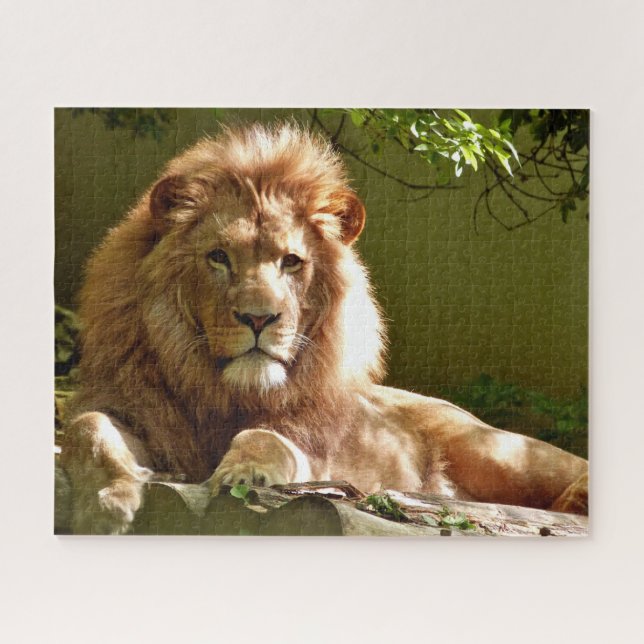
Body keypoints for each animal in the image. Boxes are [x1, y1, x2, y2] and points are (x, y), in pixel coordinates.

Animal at [60, 123, 589, 534]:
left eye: (291, 261)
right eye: (219, 257)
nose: (259, 318)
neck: (224, 393)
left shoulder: (316, 453)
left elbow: (265, 438)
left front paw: (244, 474)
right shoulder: (137, 412)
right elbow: (87, 428)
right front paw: (109, 501)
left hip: (499, 451)